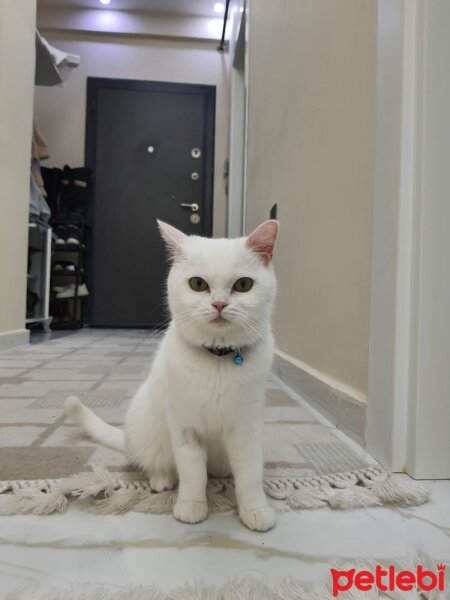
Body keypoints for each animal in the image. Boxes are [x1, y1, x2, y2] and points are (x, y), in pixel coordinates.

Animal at [66, 219, 278, 528]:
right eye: (198, 284)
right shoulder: (185, 427)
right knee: (156, 462)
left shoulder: (245, 427)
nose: (219, 304)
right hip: (149, 429)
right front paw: (191, 505)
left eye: (243, 285)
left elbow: (249, 473)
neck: (217, 359)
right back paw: (161, 479)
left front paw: (255, 509)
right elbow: (192, 473)